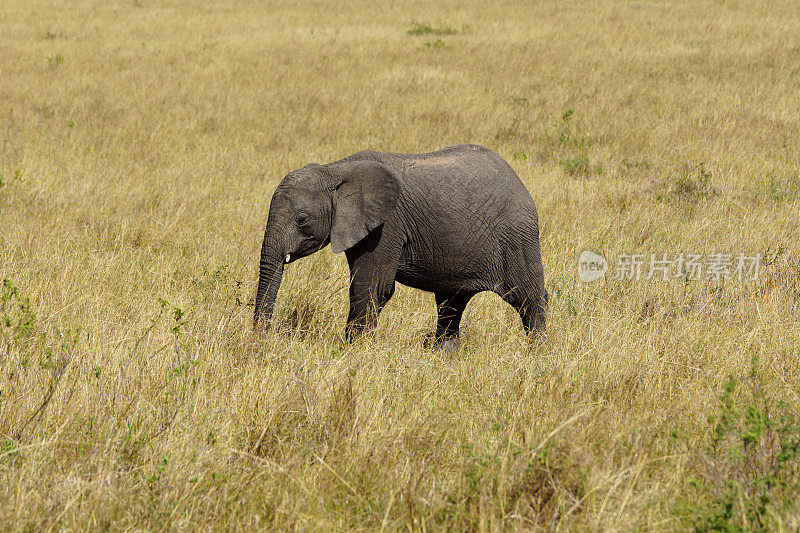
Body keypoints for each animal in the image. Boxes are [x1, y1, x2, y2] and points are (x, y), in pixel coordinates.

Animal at [253, 143, 548, 348]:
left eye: (302, 220)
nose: (263, 339)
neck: (335, 169)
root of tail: (518, 179)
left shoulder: (387, 226)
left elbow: (373, 287)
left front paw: (353, 352)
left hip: (517, 235)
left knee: (528, 298)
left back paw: (538, 353)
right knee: (451, 304)